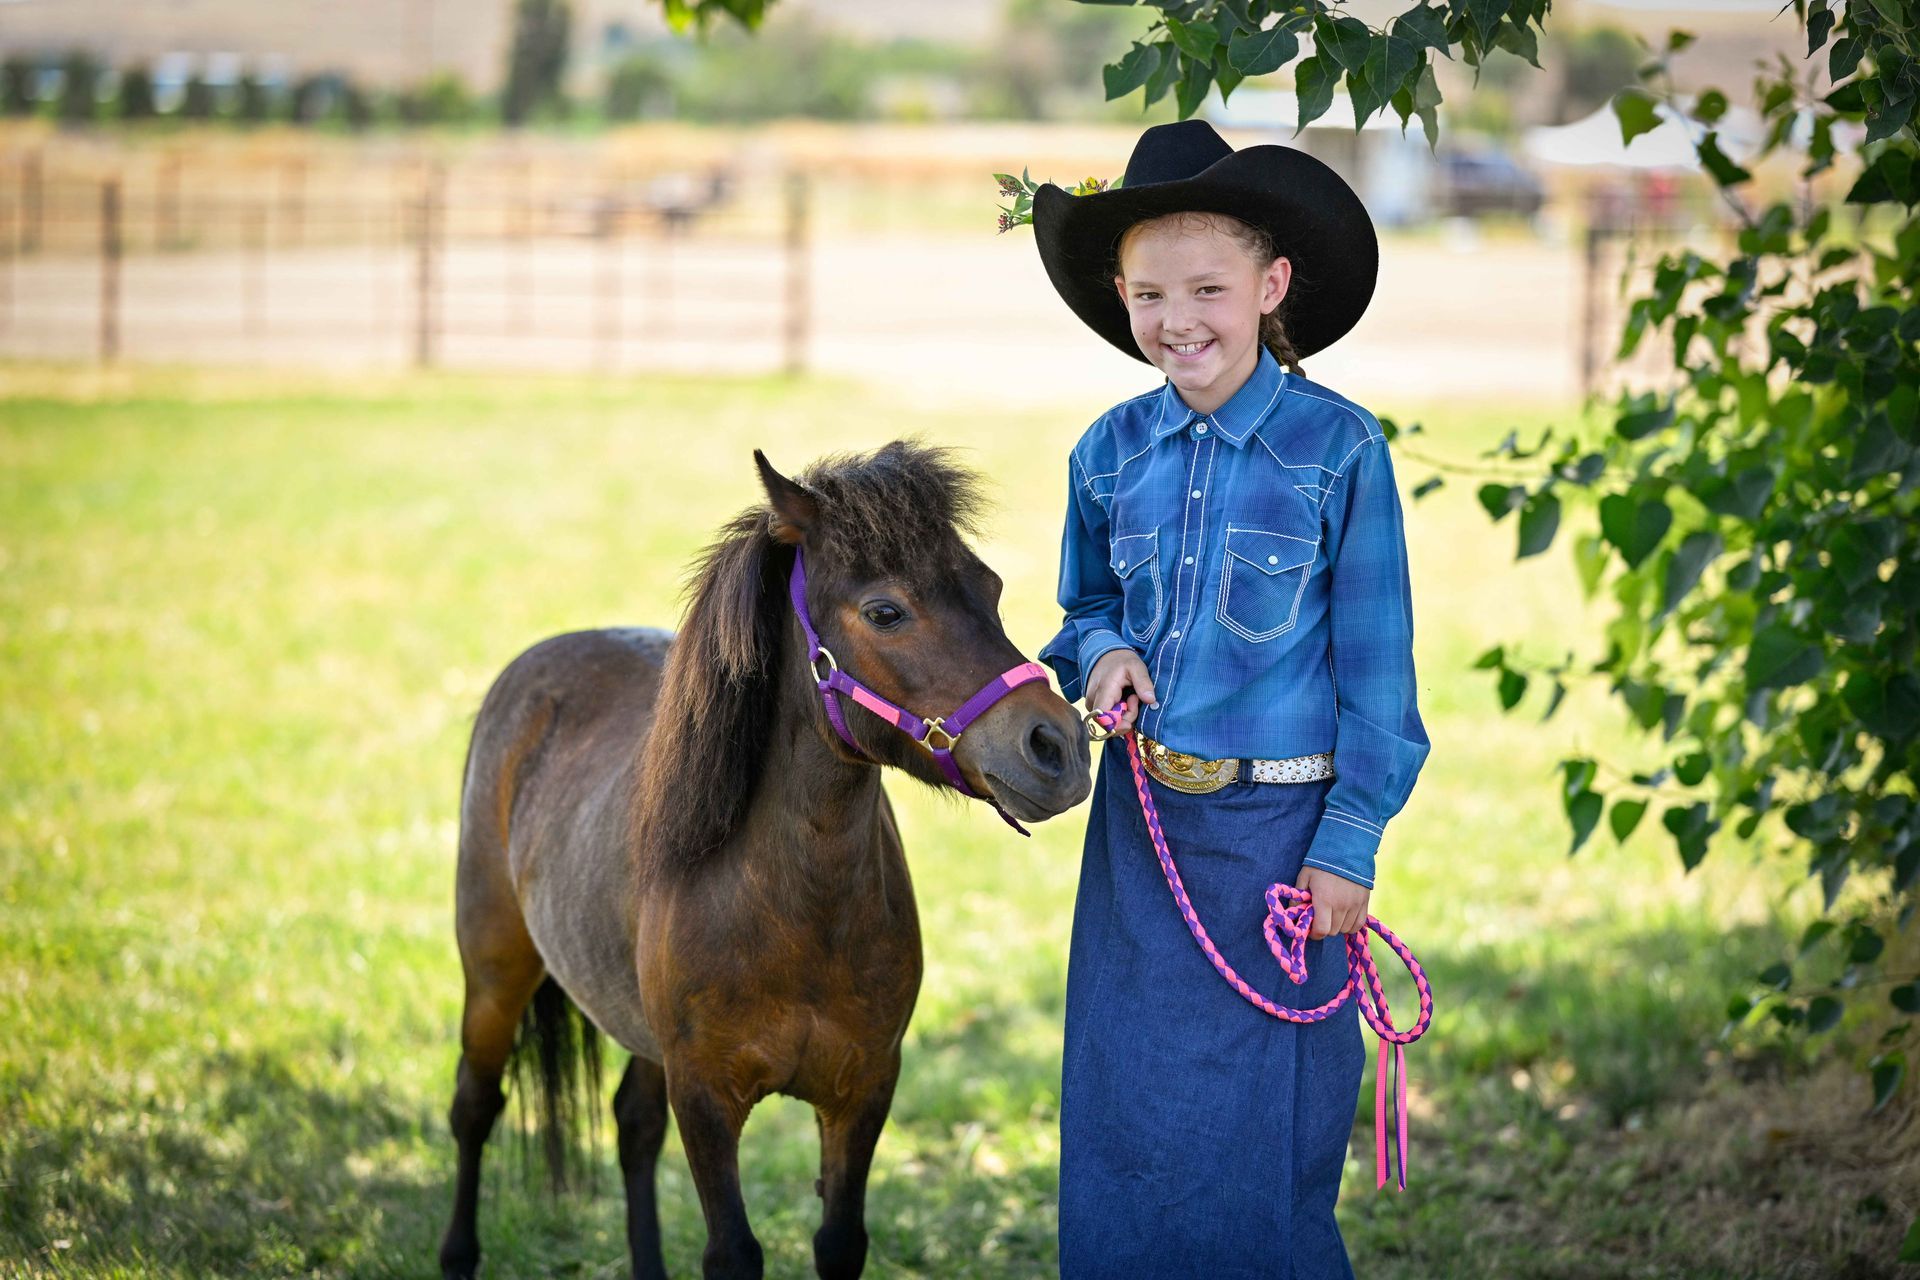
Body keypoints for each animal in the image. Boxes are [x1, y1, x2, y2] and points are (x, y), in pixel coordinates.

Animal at [439, 443, 1098, 1280]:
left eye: (991, 586)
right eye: (885, 611)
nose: (1057, 747)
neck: (795, 909)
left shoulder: (863, 1091)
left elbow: (840, 1242)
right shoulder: (706, 1099)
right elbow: (733, 1251)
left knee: (631, 1124)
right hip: (494, 973)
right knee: (475, 1106)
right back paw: (458, 1255)